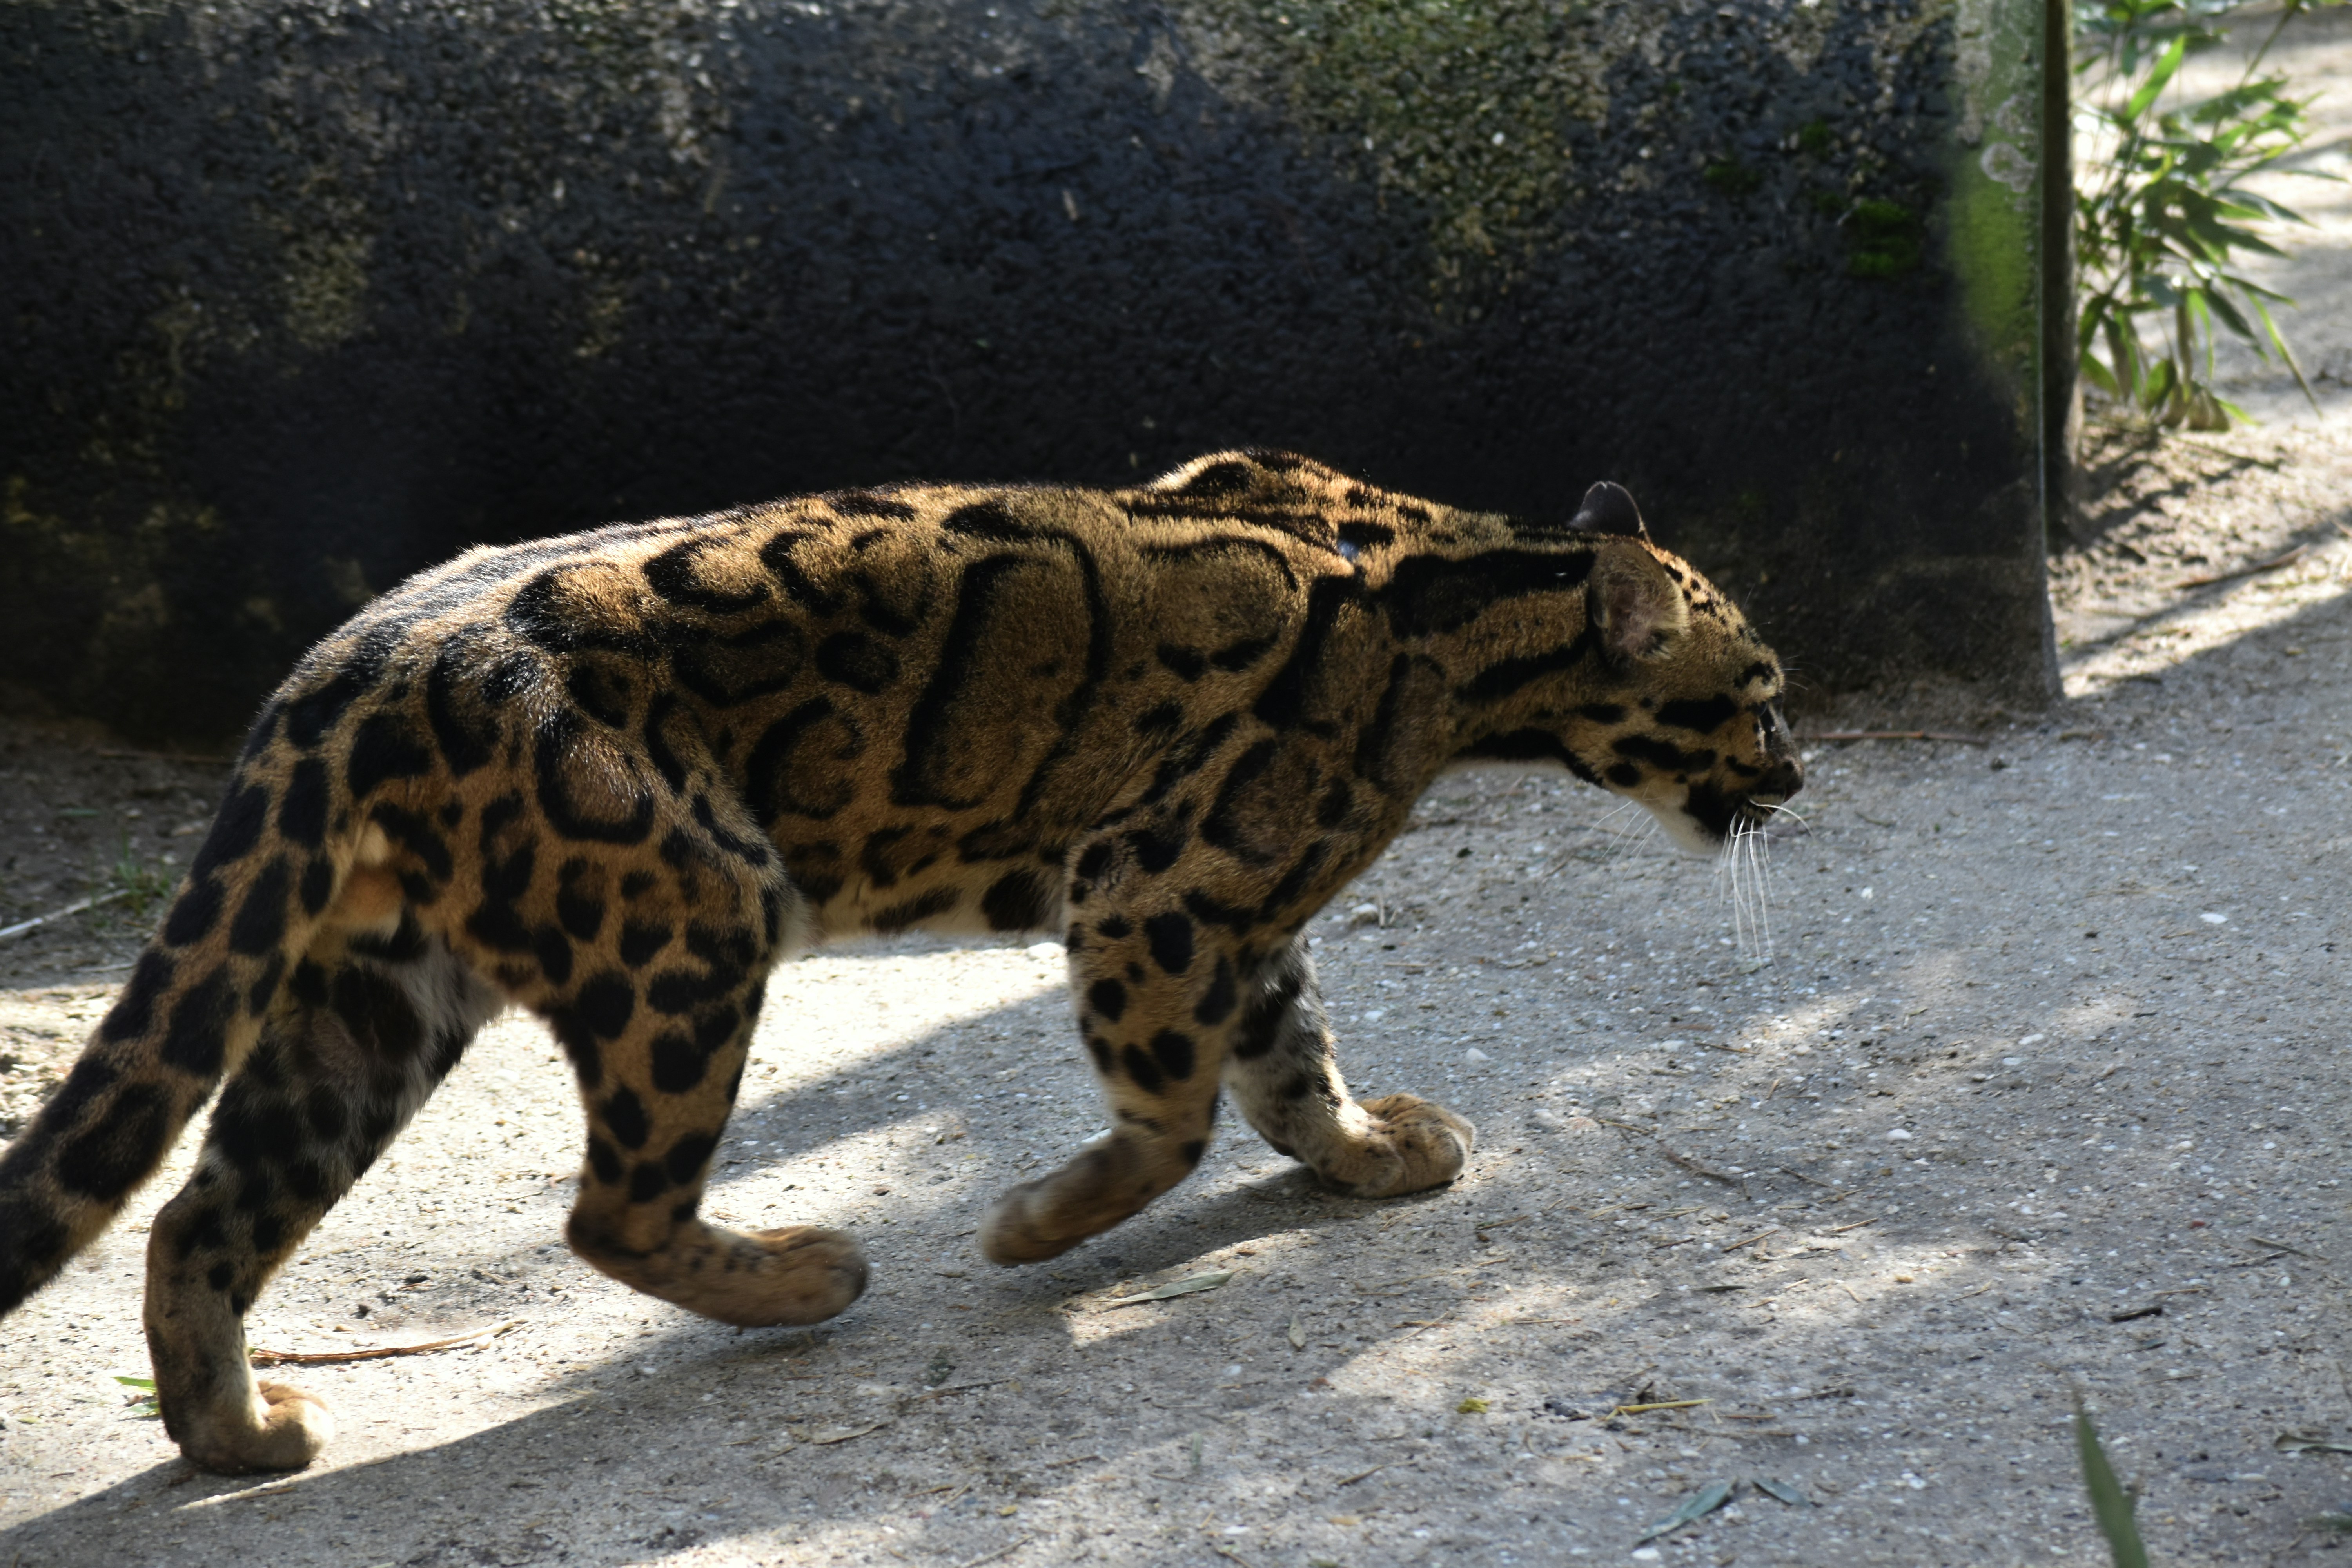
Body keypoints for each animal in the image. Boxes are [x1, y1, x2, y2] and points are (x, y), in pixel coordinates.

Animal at [0, 450, 1800, 1474]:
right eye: (1760, 693)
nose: (1797, 776)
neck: (1453, 594)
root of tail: (341, 669)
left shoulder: (1239, 910)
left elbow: (1291, 1062)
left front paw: (1367, 1152)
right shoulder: (1158, 885)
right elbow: (1178, 1110)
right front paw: (1034, 1226)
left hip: (374, 989)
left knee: (201, 1210)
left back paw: (237, 1435)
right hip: (690, 915)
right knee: (608, 1207)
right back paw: (808, 1274)